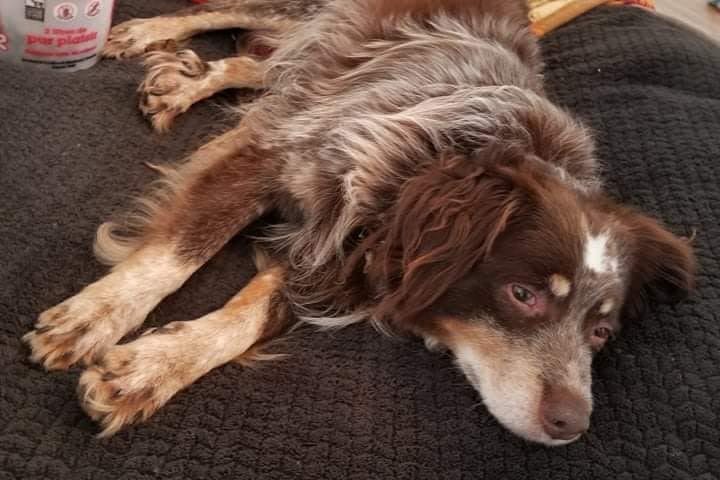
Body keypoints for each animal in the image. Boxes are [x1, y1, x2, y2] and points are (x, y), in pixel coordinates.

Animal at [23, 0, 695, 446]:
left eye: (600, 333)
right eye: (522, 294)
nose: (572, 426)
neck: (438, 162)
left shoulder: (347, 254)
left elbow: (255, 312)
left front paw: (154, 368)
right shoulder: (275, 158)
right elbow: (179, 252)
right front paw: (95, 317)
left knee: (262, 66)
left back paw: (186, 84)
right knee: (230, 17)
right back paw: (149, 33)